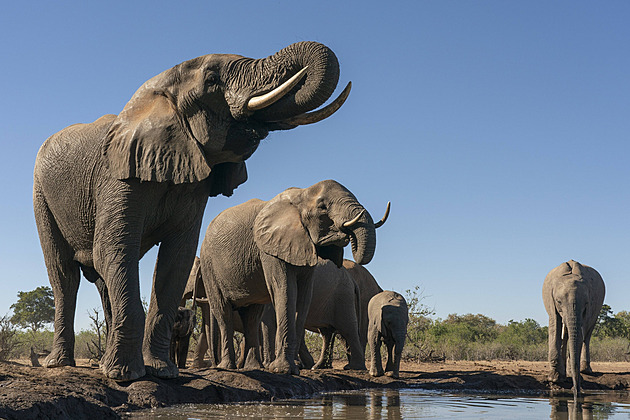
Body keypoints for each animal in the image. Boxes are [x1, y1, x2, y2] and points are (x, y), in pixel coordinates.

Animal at [32, 41, 350, 380]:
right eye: (212, 80)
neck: (158, 91)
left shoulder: (195, 184)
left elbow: (177, 258)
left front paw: (162, 371)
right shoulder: (117, 175)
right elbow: (112, 249)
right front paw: (125, 376)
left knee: (104, 282)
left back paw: (102, 361)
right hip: (41, 195)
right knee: (64, 276)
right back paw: (61, 363)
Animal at [200, 180, 382, 374]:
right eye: (322, 207)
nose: (347, 236)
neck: (301, 194)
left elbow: (303, 296)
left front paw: (288, 368)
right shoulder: (268, 249)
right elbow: (286, 291)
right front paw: (283, 369)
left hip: (342, 296)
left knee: (253, 316)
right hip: (209, 265)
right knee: (224, 311)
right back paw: (229, 367)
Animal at [544, 260, 608, 398]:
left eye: (586, 303)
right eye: (559, 301)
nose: (577, 390)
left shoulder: (589, 307)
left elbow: (580, 334)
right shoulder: (551, 301)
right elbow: (555, 325)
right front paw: (555, 378)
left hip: (598, 308)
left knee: (587, 335)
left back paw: (585, 370)